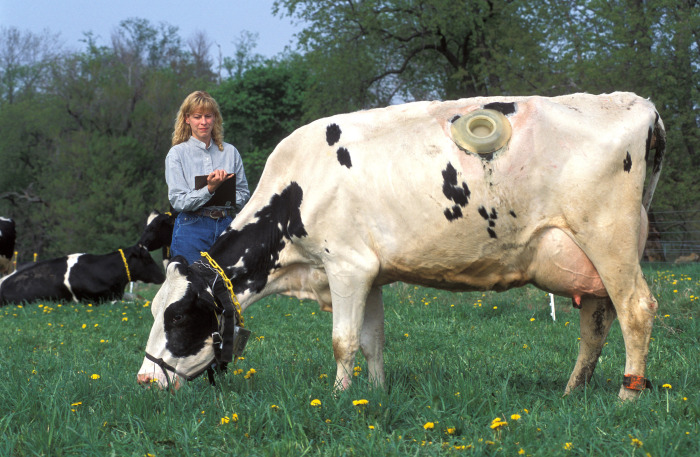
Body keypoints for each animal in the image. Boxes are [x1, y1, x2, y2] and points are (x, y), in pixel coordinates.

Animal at [137, 92, 668, 400]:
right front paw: (374, 394)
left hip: (609, 239)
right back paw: (572, 392)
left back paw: (627, 396)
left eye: (179, 317)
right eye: (154, 310)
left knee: (636, 310)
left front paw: (338, 399)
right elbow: (373, 341)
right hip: (586, 258)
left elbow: (343, 340)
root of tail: (634, 103)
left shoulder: (345, 265)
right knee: (595, 323)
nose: (144, 378)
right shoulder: (370, 271)